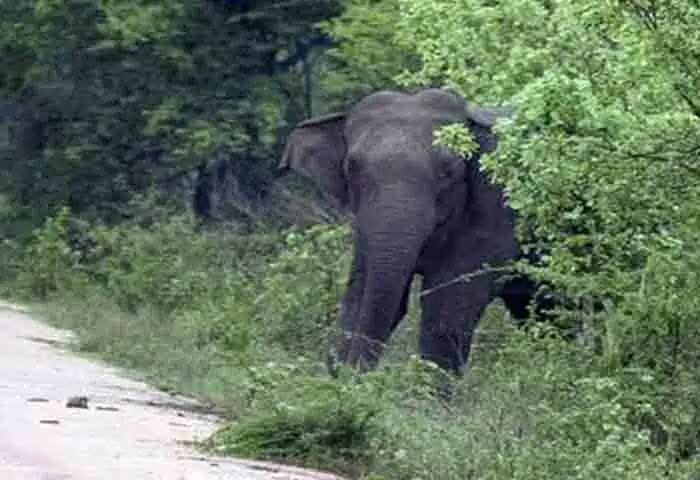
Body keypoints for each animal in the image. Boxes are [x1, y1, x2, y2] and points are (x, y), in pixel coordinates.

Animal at [279, 88, 538, 374]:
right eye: (351, 168)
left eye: (448, 172)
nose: (348, 371)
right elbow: (362, 291)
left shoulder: (497, 208)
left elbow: (448, 308)